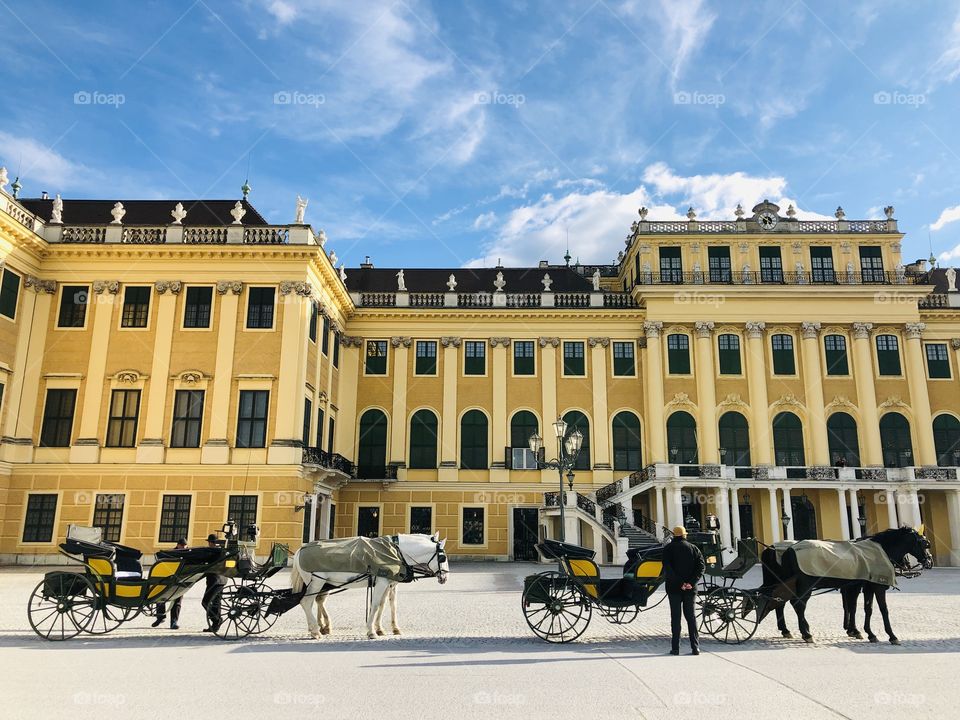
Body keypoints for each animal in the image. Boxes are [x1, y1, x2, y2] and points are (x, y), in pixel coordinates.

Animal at [288, 532, 450, 640]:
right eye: (443, 557)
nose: (445, 577)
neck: (397, 551)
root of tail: (300, 550)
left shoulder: (389, 583)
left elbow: (387, 604)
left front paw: (383, 629)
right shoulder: (383, 582)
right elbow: (376, 604)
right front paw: (372, 631)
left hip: (322, 583)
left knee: (316, 601)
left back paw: (318, 627)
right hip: (317, 581)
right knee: (306, 602)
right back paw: (316, 630)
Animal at [756, 524, 928, 644]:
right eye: (924, 543)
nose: (929, 561)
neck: (880, 550)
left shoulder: (860, 586)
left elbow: (861, 608)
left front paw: (862, 632)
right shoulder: (875, 586)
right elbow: (882, 610)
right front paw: (891, 636)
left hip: (782, 583)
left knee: (779, 602)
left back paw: (788, 630)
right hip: (805, 585)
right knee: (797, 604)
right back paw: (806, 633)